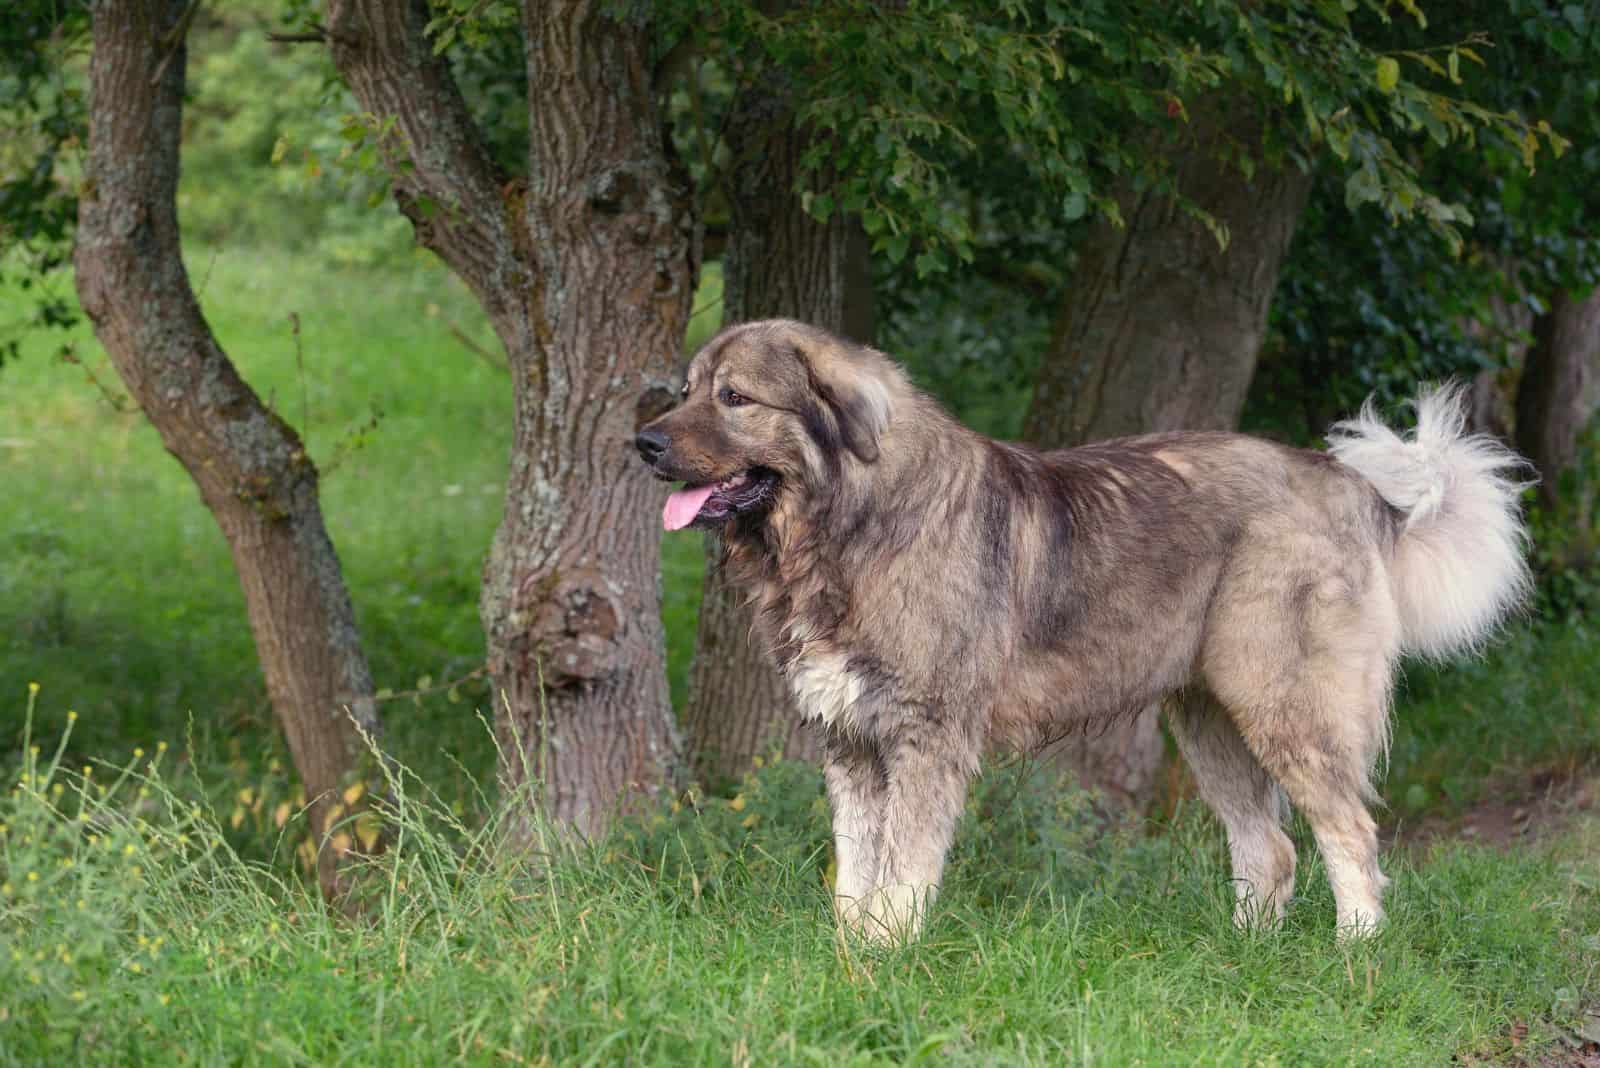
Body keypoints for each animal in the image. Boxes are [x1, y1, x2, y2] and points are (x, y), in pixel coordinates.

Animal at [630, 319, 1529, 940]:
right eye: (688, 388)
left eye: (735, 398)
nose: (641, 441)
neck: (853, 523)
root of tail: (1353, 487)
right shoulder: (852, 742)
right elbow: (856, 872)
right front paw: (848, 958)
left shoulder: (926, 739)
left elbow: (902, 871)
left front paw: (885, 958)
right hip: (1209, 719)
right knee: (1269, 850)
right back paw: (1244, 959)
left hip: (1287, 708)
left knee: (1352, 837)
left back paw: (1353, 959)